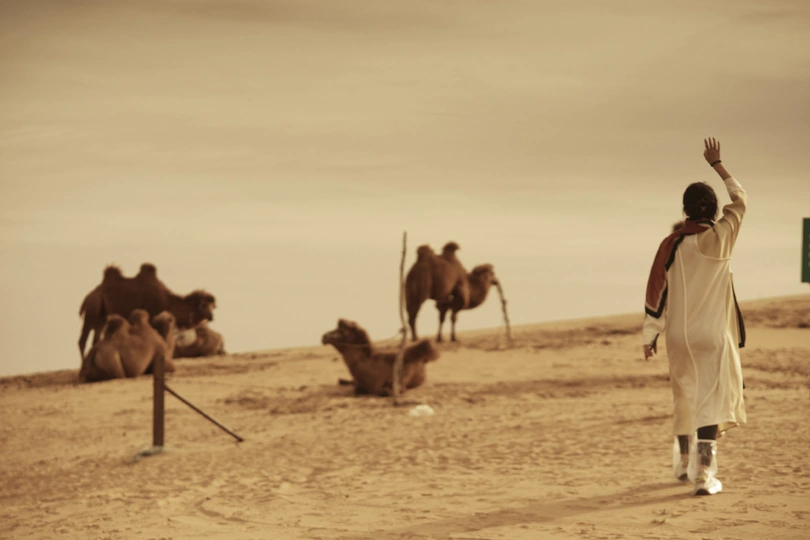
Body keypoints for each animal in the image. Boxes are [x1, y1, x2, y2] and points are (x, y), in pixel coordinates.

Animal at [77, 263, 216, 364]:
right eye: (204, 305)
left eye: (213, 306)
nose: (211, 317)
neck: (167, 301)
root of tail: (88, 296)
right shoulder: (152, 316)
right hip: (92, 311)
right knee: (82, 339)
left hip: (101, 318)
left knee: (95, 338)